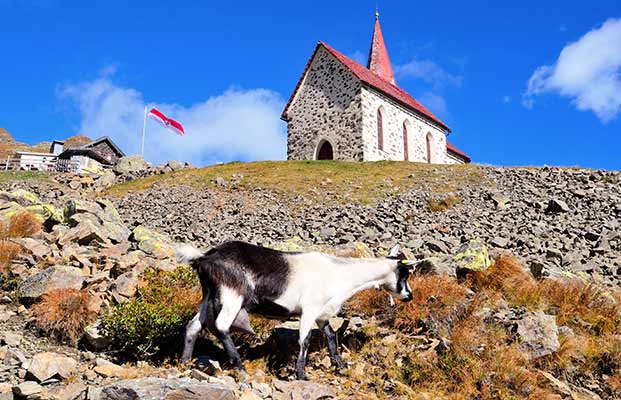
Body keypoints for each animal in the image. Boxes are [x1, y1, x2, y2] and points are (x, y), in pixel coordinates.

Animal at [177, 239, 414, 380]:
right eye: (404, 274)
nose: (409, 296)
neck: (340, 274)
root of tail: (204, 258)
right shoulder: (309, 309)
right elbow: (305, 340)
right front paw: (301, 374)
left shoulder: (321, 314)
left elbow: (331, 336)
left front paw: (340, 365)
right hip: (232, 296)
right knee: (221, 326)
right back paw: (241, 368)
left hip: (208, 296)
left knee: (193, 326)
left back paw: (185, 363)